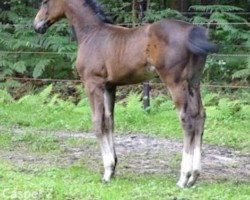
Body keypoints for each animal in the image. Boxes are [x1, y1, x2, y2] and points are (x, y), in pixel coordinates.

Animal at [34, 0, 218, 188]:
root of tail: (192, 30)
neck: (91, 34)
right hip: (194, 83)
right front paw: (113, 168)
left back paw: (183, 178)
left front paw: (107, 172)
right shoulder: (109, 86)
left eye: (45, 2)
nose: (37, 25)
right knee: (200, 116)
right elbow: (109, 122)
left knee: (187, 120)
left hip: (175, 82)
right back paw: (194, 176)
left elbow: (97, 124)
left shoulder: (93, 84)